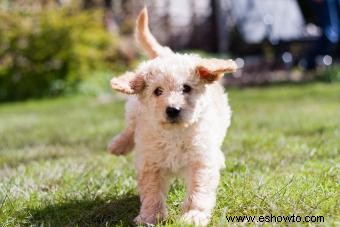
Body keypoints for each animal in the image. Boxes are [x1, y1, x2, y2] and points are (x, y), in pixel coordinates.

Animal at [108, 7, 236, 227]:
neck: (174, 134)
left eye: (186, 88)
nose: (173, 109)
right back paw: (118, 145)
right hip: (134, 111)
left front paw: (193, 215)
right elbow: (151, 192)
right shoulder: (151, 163)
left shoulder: (200, 161)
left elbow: (198, 191)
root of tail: (168, 54)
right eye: (157, 91)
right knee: (130, 128)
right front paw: (149, 217)